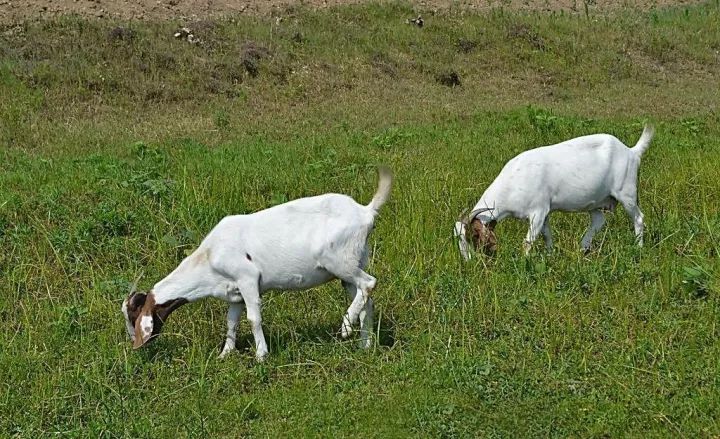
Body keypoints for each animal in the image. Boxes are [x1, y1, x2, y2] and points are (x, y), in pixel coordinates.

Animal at [124, 167, 394, 362]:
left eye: (132, 315)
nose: (134, 344)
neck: (209, 257)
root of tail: (366, 211)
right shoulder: (234, 293)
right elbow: (231, 322)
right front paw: (225, 354)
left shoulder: (247, 279)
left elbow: (254, 318)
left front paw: (261, 356)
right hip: (354, 262)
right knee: (366, 301)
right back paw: (365, 345)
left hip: (338, 261)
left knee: (369, 283)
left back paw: (347, 326)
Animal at [456, 125, 652, 260]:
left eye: (474, 235)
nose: (470, 261)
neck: (513, 182)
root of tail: (631, 151)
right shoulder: (545, 213)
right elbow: (546, 234)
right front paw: (550, 255)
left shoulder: (538, 211)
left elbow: (528, 241)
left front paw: (524, 262)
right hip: (596, 202)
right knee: (598, 220)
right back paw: (582, 248)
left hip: (626, 192)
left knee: (638, 218)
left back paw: (638, 248)